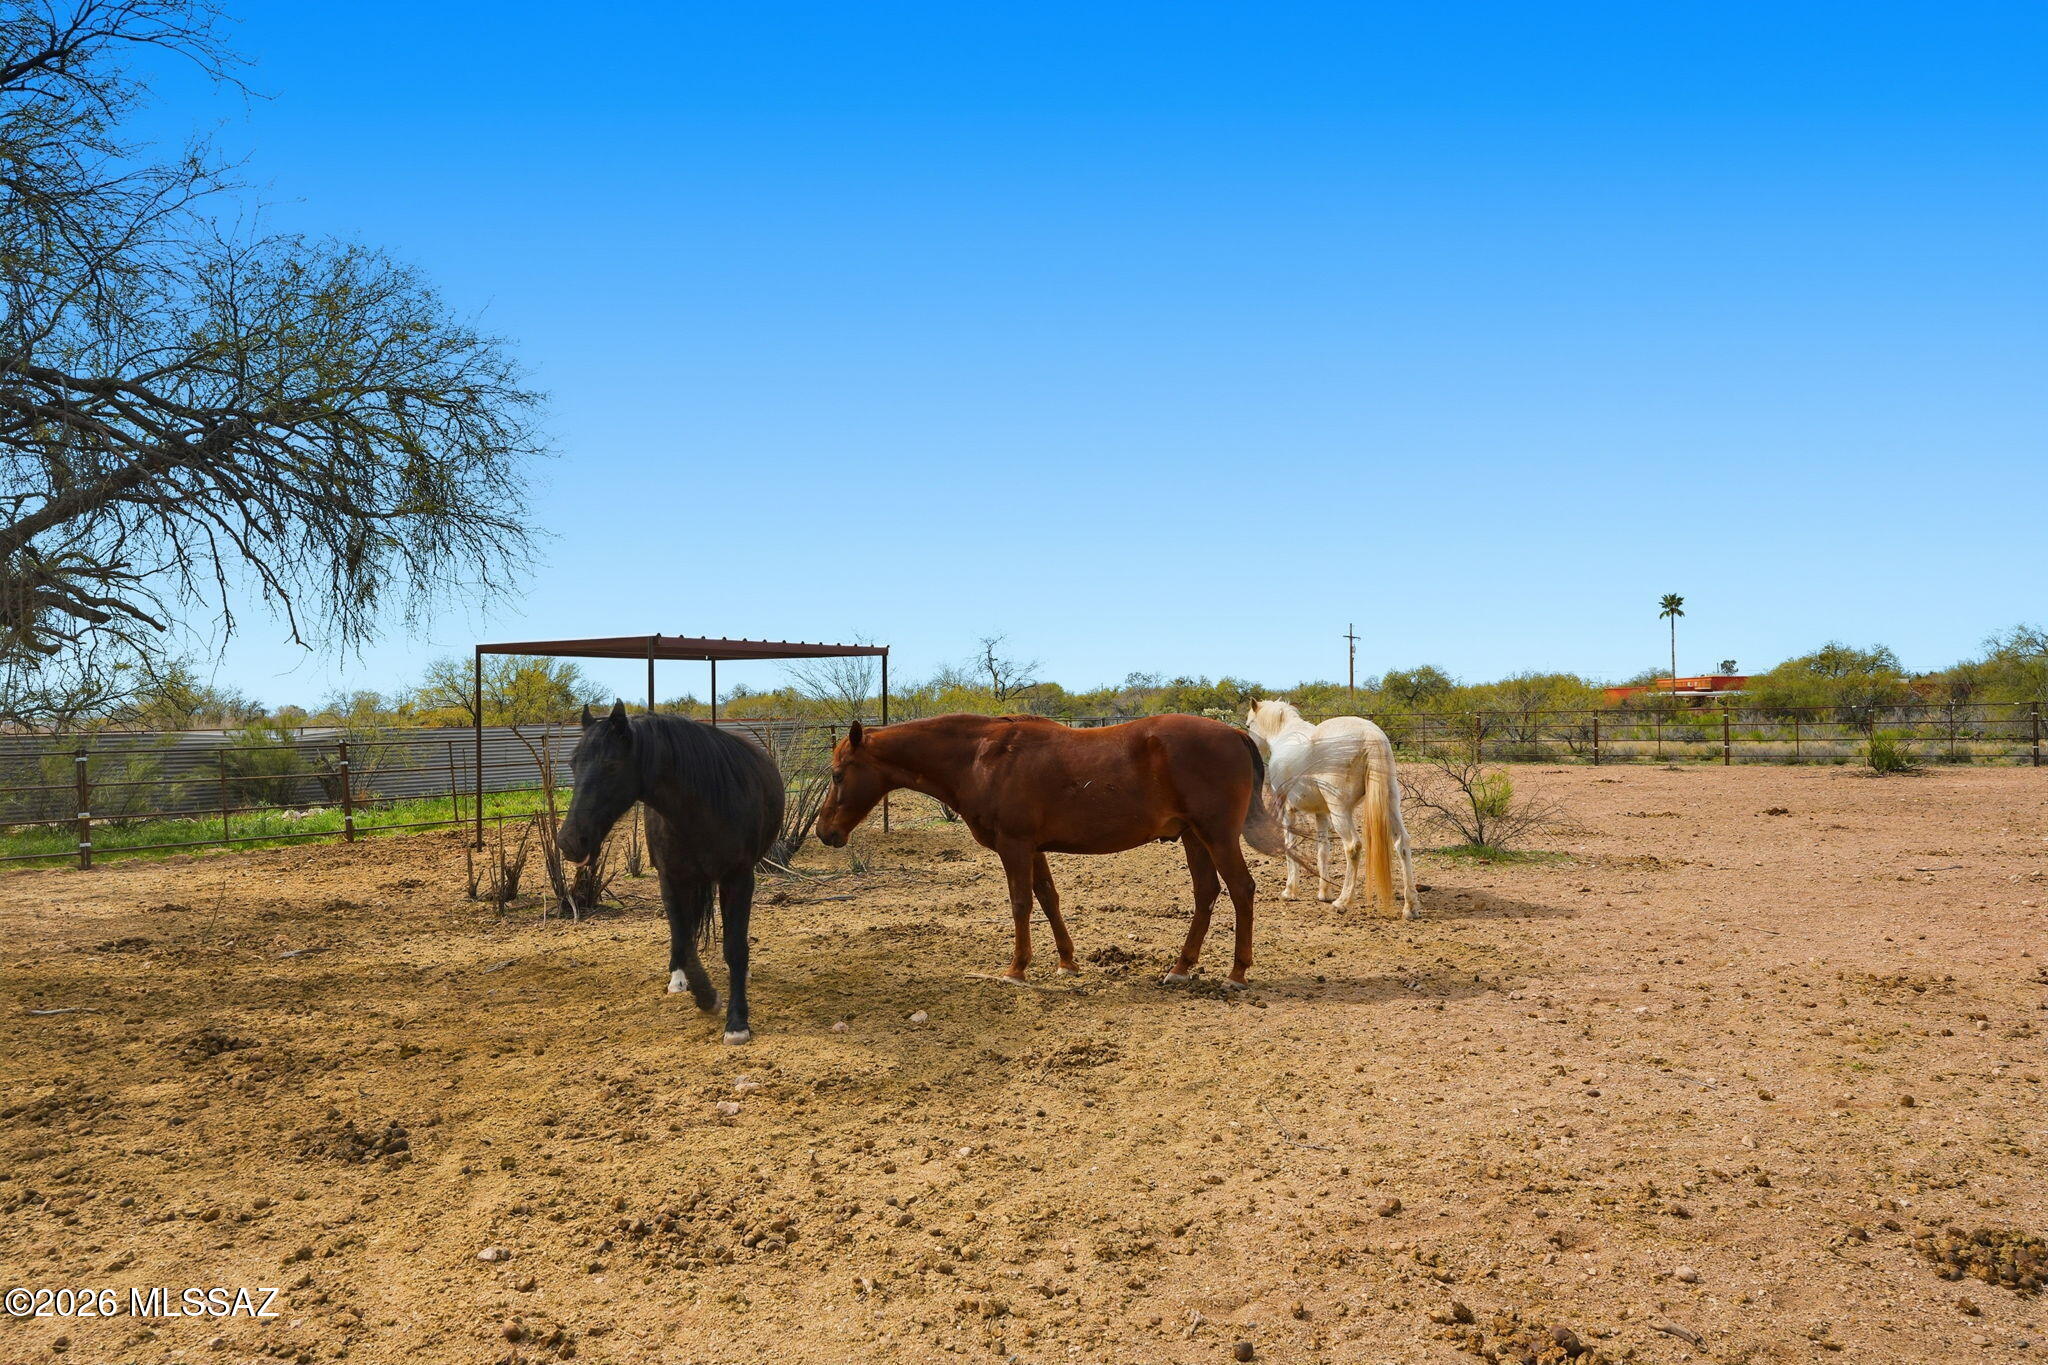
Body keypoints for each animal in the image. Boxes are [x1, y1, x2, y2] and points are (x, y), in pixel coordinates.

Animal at [557, 701, 784, 1044]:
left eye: (611, 765)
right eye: (573, 764)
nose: (569, 842)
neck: (701, 807)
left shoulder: (738, 879)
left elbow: (734, 947)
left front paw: (736, 1022)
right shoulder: (671, 878)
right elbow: (682, 936)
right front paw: (706, 997)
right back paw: (679, 980)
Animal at [814, 713, 1286, 988]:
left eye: (837, 774)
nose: (824, 832)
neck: (980, 758)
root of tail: (1237, 733)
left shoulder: (1014, 845)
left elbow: (1021, 903)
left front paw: (1016, 969)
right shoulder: (1033, 847)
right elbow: (1048, 898)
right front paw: (1067, 962)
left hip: (1217, 835)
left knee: (1241, 890)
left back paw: (1237, 973)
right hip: (1193, 837)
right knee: (1206, 893)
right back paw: (1181, 968)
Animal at [1245, 699, 1417, 918]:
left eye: (1248, 725)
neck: (1284, 733)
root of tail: (1369, 734)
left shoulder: (1287, 811)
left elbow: (1290, 847)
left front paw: (1289, 891)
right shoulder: (1321, 813)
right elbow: (1323, 851)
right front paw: (1323, 892)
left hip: (1340, 811)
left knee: (1353, 846)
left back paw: (1342, 902)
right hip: (1390, 805)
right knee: (1402, 843)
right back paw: (1410, 907)